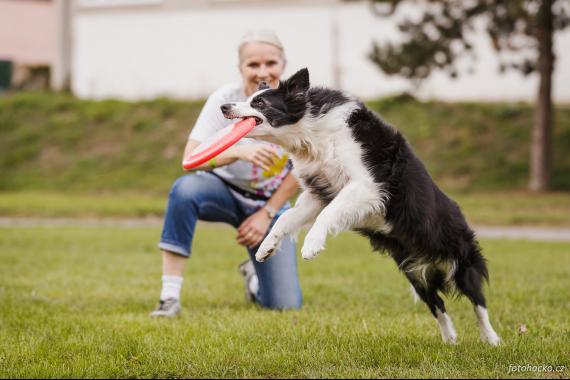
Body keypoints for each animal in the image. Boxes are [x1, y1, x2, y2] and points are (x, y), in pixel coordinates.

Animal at [220, 67, 500, 344]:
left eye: (259, 102)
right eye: (249, 98)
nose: (224, 107)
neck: (312, 131)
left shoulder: (366, 185)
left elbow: (328, 214)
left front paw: (311, 246)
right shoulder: (319, 193)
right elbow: (286, 218)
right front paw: (265, 248)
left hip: (461, 260)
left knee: (478, 303)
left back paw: (491, 339)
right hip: (414, 274)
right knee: (438, 305)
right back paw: (449, 339)